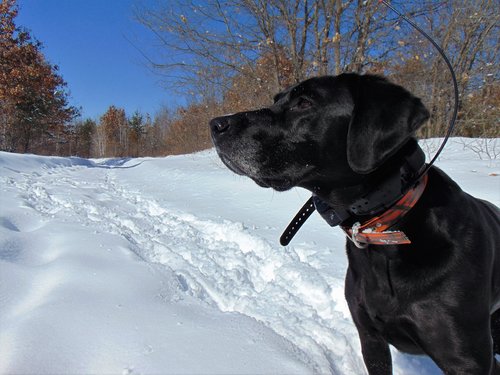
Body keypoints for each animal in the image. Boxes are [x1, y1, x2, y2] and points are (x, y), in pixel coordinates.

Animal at [209, 72, 500, 374]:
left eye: (304, 102)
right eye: (277, 100)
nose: (216, 124)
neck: (384, 233)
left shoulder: (467, 361)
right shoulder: (370, 339)